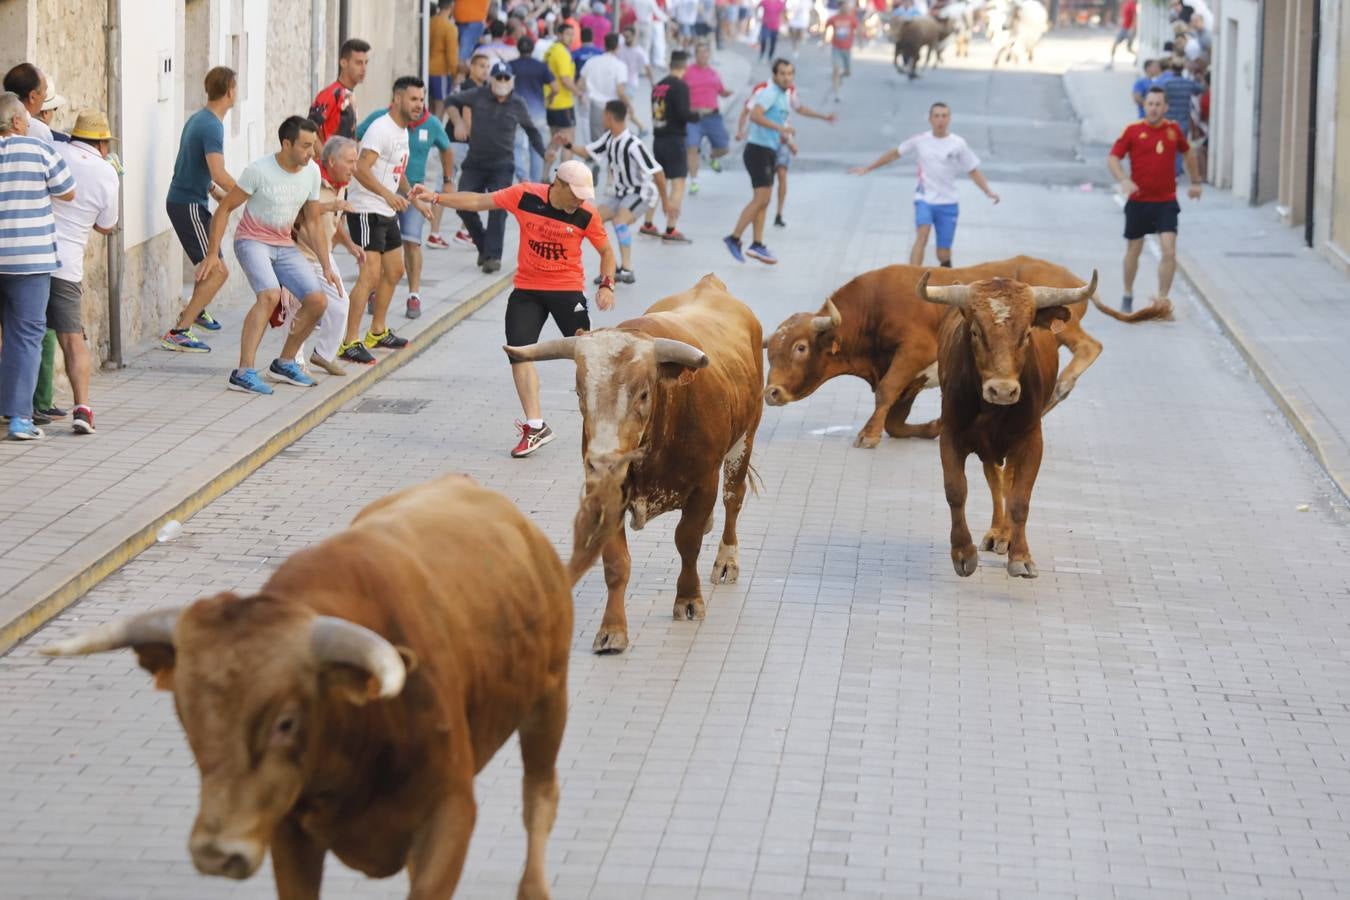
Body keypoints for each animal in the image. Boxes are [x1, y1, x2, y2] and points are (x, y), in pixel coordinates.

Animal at [43, 474, 569, 900]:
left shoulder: (451, 814)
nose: (216, 852)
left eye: (286, 722)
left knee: (539, 796)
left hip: (549, 699)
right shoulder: (287, 830)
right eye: (186, 716)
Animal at [504, 275, 766, 655]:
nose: (602, 461)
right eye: (580, 392)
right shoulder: (609, 492)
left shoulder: (704, 482)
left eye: (643, 393)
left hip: (744, 439)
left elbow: (687, 541)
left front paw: (689, 600)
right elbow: (616, 563)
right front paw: (612, 630)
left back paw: (726, 561)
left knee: (734, 499)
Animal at [766, 255, 1101, 447]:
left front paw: (868, 434)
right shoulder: (911, 381)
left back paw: (1061, 387)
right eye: (770, 353)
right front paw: (933, 426)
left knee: (1090, 346)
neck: (872, 308)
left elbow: (886, 391)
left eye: (800, 347)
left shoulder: (913, 352)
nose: (771, 392)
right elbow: (895, 422)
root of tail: (1070, 278)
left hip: (1062, 330)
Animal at [923, 269, 1101, 577]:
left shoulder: (1031, 441)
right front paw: (963, 553)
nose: (1003, 390)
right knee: (996, 481)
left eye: (1027, 333)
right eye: (975, 332)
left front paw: (1020, 556)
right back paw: (997, 533)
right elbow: (956, 490)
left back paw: (1005, 536)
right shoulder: (951, 434)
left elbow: (1019, 498)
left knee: (1006, 482)